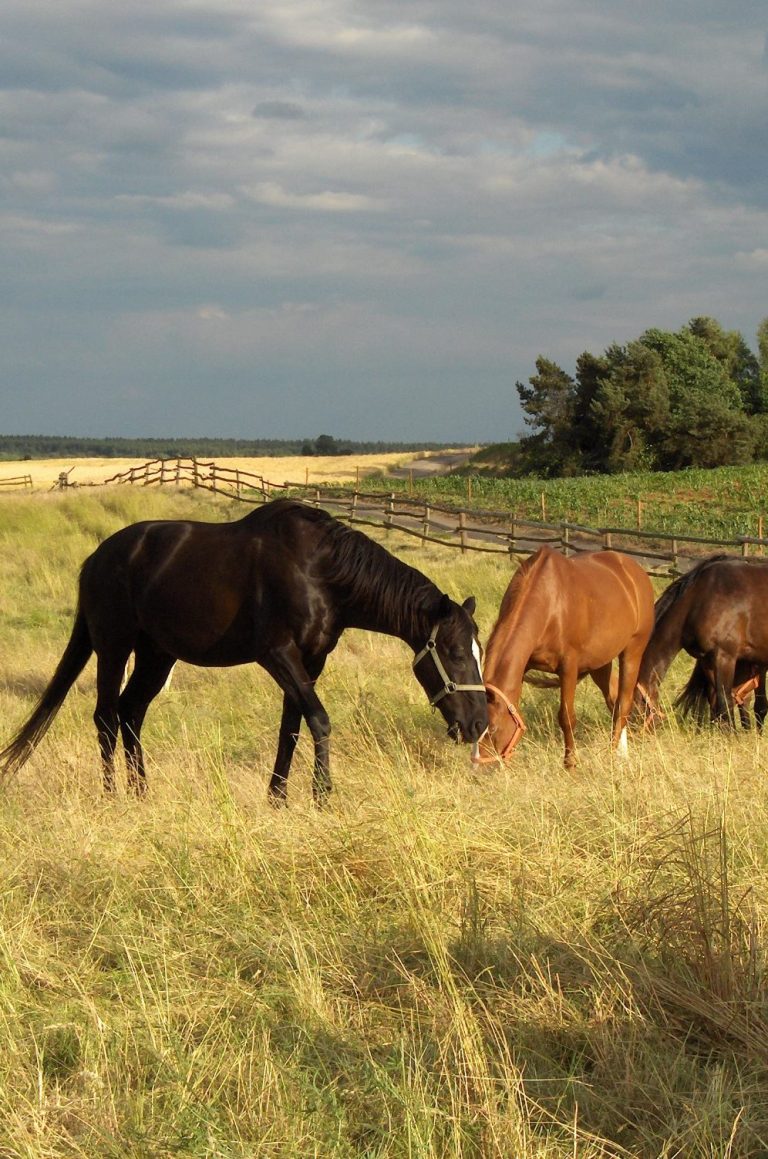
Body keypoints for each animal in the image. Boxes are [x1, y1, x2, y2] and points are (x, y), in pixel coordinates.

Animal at [0, 499, 488, 803]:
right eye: (453, 651)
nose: (480, 725)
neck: (320, 572)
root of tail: (96, 558)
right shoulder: (277, 653)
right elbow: (319, 719)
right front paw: (322, 796)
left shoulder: (311, 660)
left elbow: (292, 727)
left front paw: (278, 798)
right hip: (114, 647)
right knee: (105, 717)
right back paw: (112, 797)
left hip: (157, 654)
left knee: (130, 711)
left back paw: (141, 794)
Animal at [473, 546, 655, 768]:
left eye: (493, 729)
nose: (477, 768)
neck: (550, 604)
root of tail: (636, 572)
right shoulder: (525, 666)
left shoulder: (568, 667)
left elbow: (566, 717)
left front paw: (570, 764)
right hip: (599, 663)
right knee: (613, 700)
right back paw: (622, 754)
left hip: (632, 651)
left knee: (623, 704)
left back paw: (613, 756)